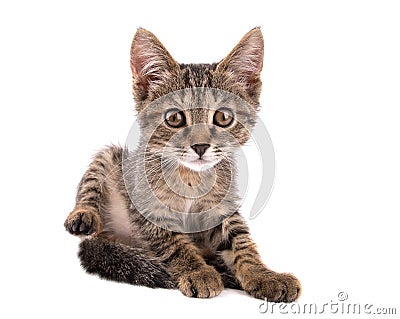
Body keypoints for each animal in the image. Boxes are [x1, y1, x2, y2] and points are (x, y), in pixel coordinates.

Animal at [64, 27, 300, 302]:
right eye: (175, 118)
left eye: (223, 117)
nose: (200, 146)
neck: (191, 177)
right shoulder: (147, 207)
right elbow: (174, 244)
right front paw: (198, 272)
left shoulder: (222, 206)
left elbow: (239, 240)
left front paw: (264, 275)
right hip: (113, 160)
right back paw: (84, 215)